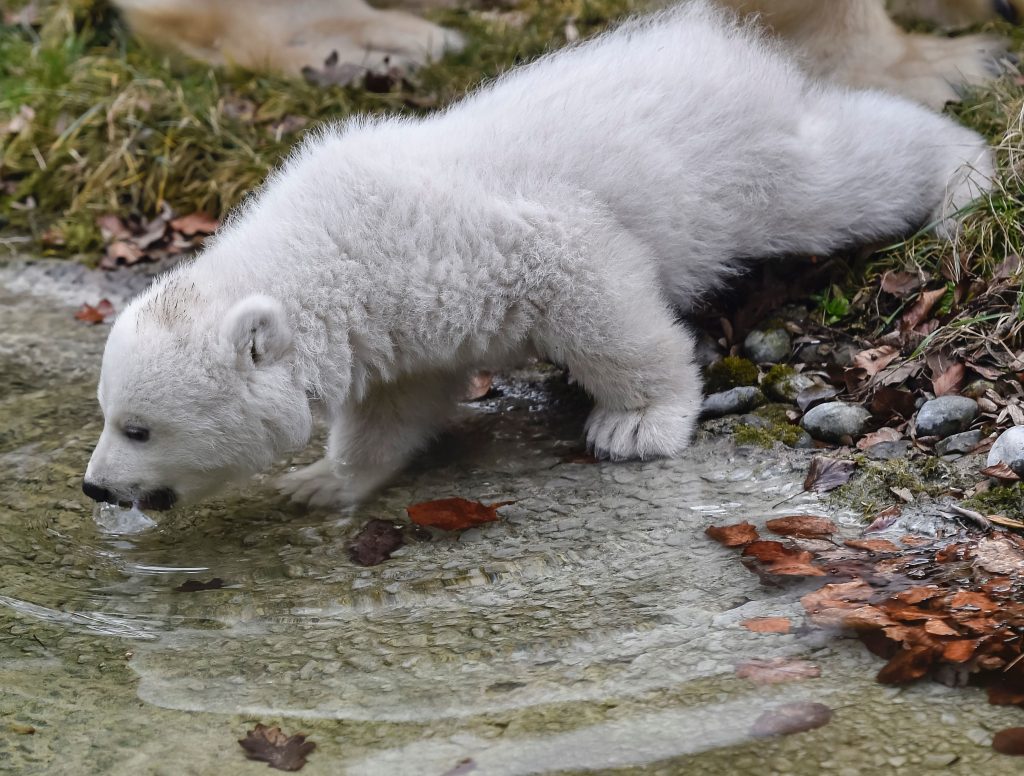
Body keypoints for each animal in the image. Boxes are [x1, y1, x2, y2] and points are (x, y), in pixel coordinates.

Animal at [83, 3, 995, 513]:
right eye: (106, 412)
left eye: (137, 426)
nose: (94, 485)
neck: (338, 245)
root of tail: (722, 44)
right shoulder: (403, 318)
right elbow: (397, 404)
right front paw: (321, 482)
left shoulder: (492, 240)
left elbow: (598, 292)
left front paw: (636, 422)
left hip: (743, 164)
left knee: (841, 174)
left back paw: (965, 176)